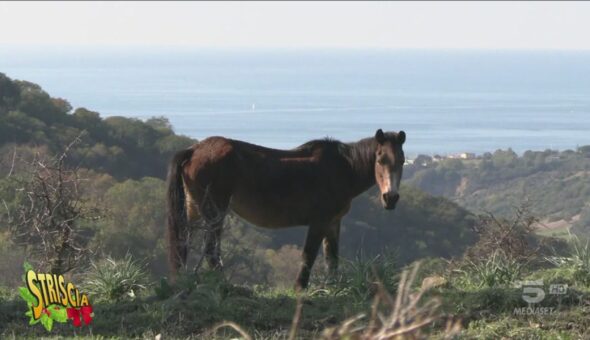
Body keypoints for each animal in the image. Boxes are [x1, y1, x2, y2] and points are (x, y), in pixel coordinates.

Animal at [166, 129, 408, 288]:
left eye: (402, 160)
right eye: (380, 159)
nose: (390, 198)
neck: (342, 168)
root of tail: (194, 149)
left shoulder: (333, 222)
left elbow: (332, 258)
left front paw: (332, 288)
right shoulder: (319, 221)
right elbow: (308, 255)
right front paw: (300, 288)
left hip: (194, 209)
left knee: (184, 242)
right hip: (214, 211)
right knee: (210, 250)